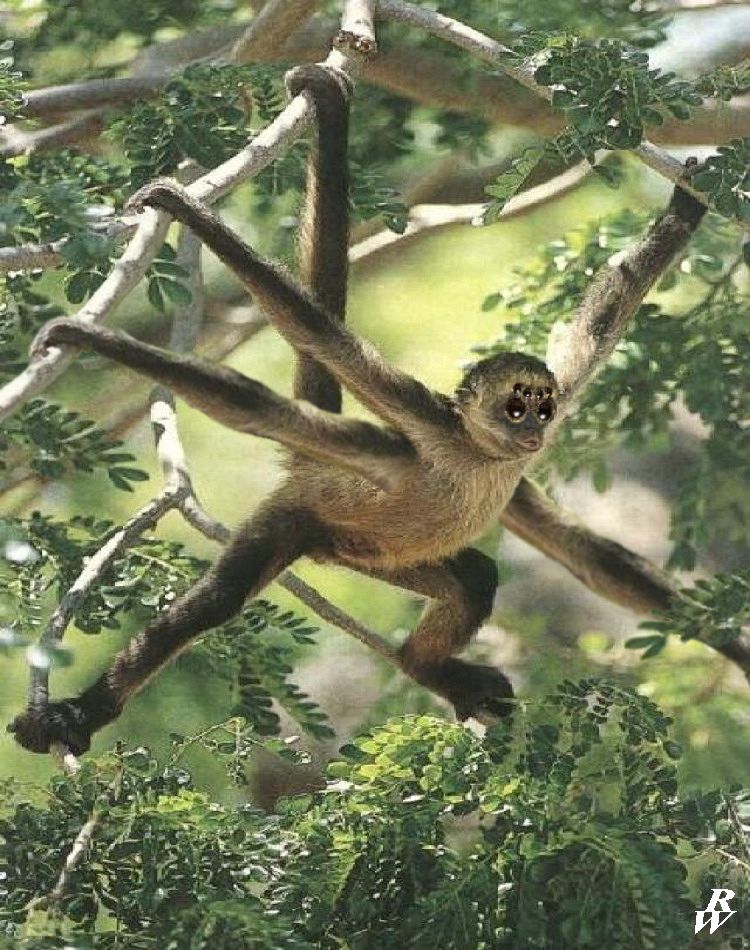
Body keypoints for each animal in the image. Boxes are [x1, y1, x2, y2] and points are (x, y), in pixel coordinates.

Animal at [9, 63, 703, 757]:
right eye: (514, 407)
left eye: (541, 404)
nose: (535, 426)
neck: (481, 455)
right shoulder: (419, 421)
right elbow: (296, 354)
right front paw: (107, 319)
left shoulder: (546, 414)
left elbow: (583, 530)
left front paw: (687, 207)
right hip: (297, 521)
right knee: (223, 595)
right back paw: (82, 713)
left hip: (372, 554)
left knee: (474, 576)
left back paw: (425, 668)